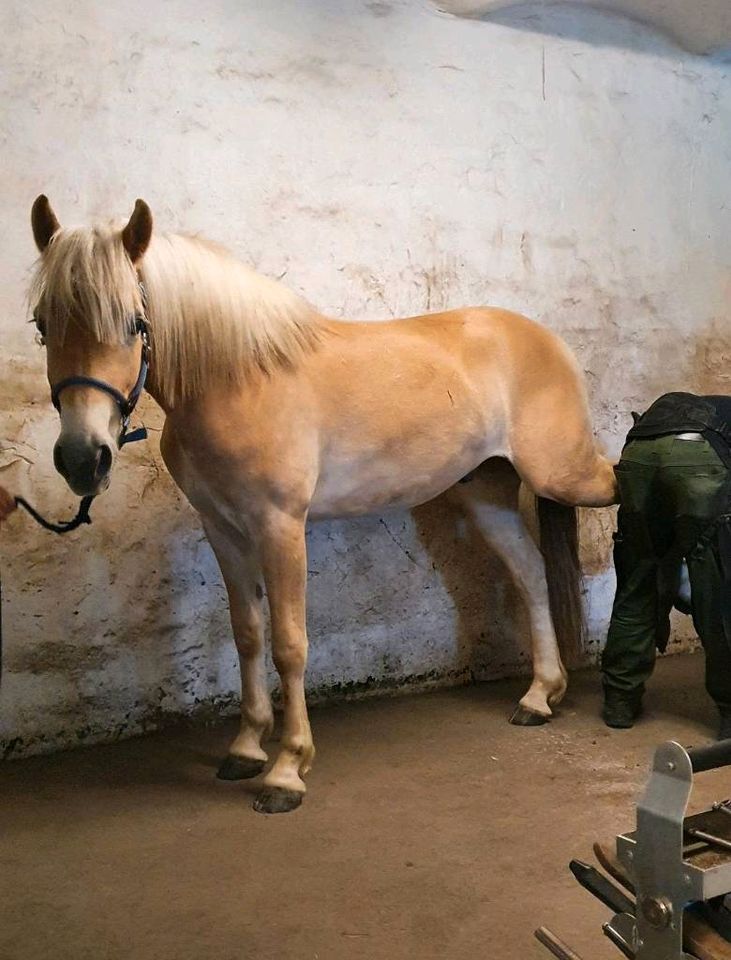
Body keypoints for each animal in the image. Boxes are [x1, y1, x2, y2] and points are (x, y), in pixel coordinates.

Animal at [27, 199, 616, 812]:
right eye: (43, 324)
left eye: (133, 323)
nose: (82, 459)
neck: (238, 381)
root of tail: (547, 339)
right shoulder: (223, 529)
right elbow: (248, 633)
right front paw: (246, 748)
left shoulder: (279, 526)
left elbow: (290, 644)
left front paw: (287, 769)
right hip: (487, 495)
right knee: (531, 574)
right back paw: (539, 696)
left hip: (565, 473)